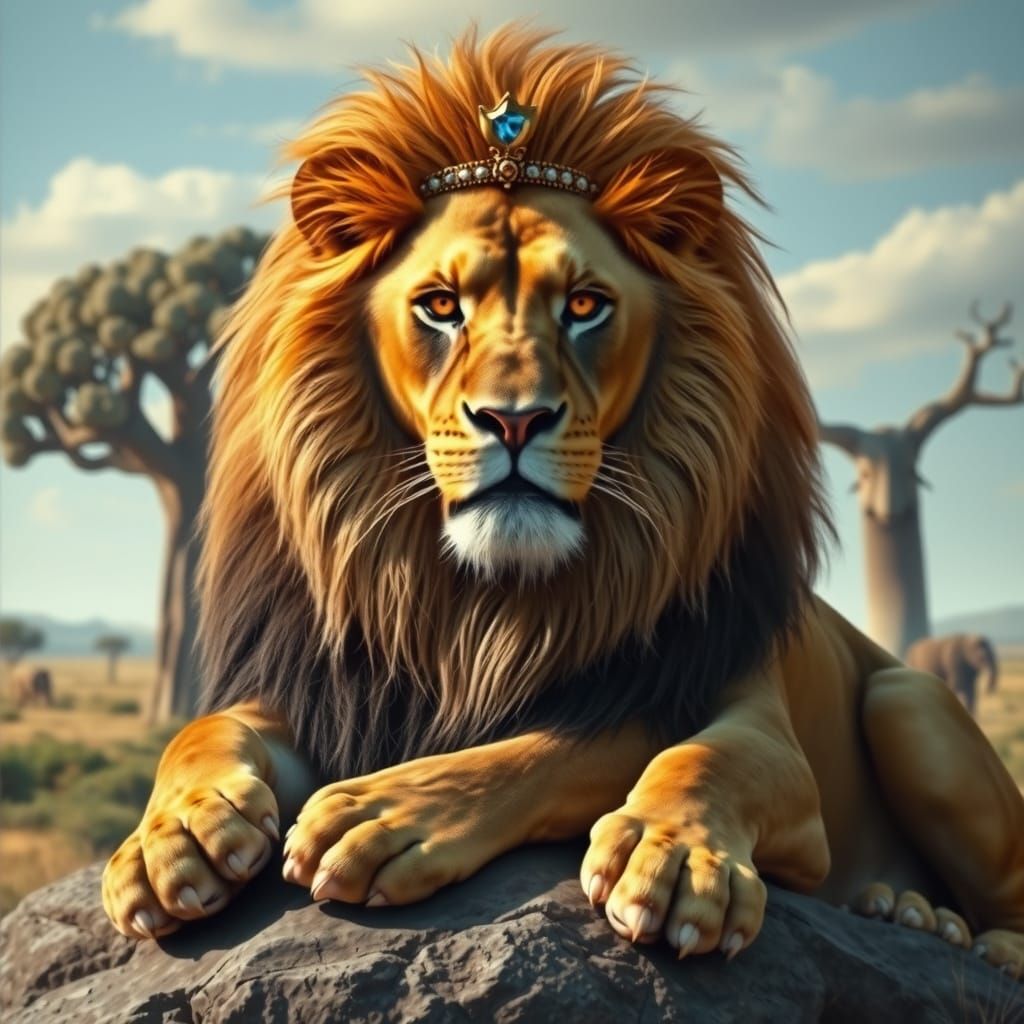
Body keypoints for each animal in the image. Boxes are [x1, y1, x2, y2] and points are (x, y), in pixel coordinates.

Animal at [101, 25, 1024, 978]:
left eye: (585, 305)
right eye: (440, 306)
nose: (514, 418)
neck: (484, 606)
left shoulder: (761, 735)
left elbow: (646, 748)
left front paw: (666, 858)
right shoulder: (328, 695)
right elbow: (203, 727)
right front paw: (177, 837)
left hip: (908, 703)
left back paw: (946, 929)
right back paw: (904, 910)